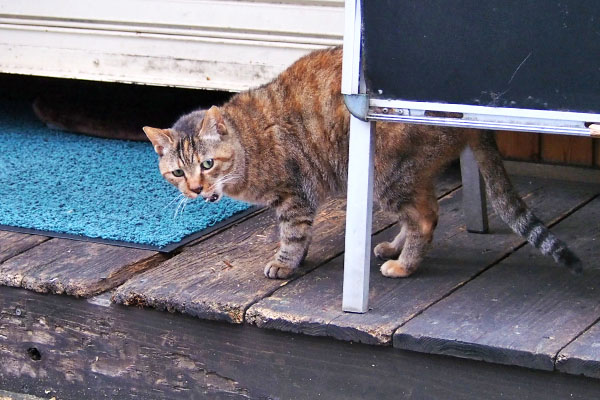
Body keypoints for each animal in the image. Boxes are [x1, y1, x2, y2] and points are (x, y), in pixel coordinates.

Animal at [143, 46, 580, 278]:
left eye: (208, 164)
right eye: (178, 172)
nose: (195, 189)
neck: (247, 145)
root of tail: (465, 111)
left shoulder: (294, 197)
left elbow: (292, 236)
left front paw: (284, 264)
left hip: (388, 175)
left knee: (425, 217)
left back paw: (404, 266)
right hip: (396, 177)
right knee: (424, 213)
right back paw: (394, 249)